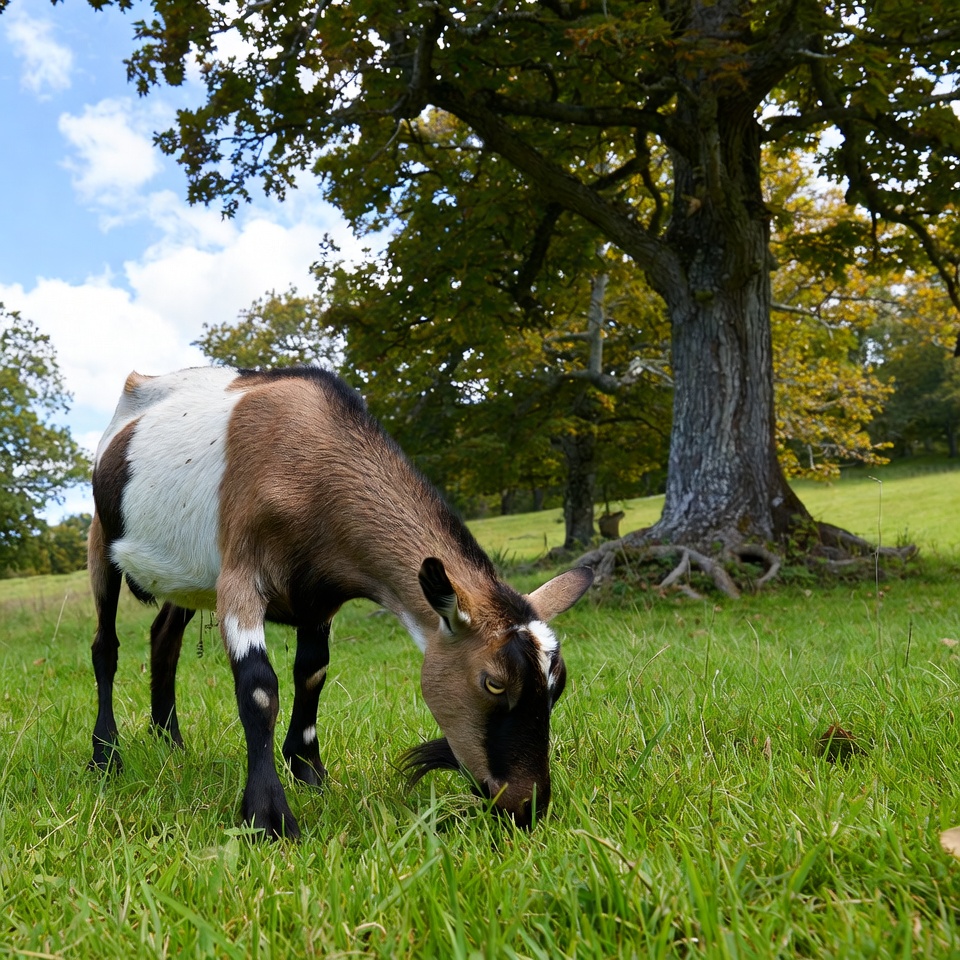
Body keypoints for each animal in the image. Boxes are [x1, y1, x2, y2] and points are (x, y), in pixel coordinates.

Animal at [88, 365, 593, 838]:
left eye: (558, 686)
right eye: (493, 683)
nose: (526, 806)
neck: (312, 464)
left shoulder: (319, 596)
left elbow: (313, 673)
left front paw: (309, 771)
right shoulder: (239, 574)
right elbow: (259, 688)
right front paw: (269, 816)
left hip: (188, 578)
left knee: (164, 637)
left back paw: (168, 740)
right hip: (101, 538)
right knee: (105, 647)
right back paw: (106, 756)